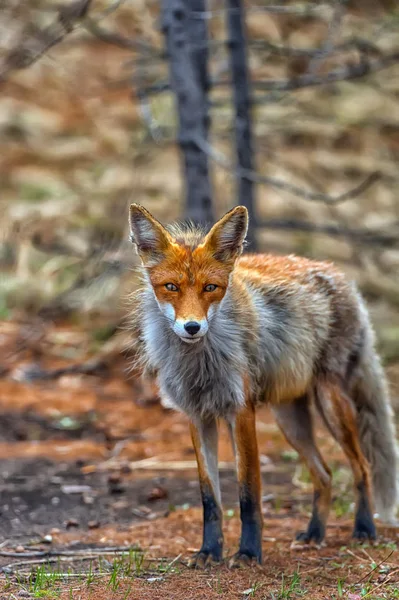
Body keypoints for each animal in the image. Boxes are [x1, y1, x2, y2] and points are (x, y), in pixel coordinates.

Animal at [129, 203, 399, 568]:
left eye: (211, 288)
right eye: (171, 286)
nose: (192, 327)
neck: (199, 364)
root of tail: (343, 279)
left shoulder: (241, 411)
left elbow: (248, 494)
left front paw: (248, 552)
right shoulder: (198, 416)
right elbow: (210, 499)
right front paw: (209, 552)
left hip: (331, 404)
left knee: (362, 467)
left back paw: (364, 528)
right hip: (290, 420)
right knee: (325, 474)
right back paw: (315, 533)